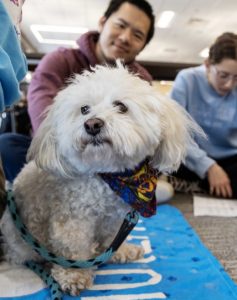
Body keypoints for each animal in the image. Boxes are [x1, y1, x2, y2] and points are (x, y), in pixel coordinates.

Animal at [0, 62, 200, 296]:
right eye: (84, 109)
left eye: (121, 106)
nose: (92, 124)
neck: (107, 178)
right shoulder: (72, 220)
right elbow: (73, 248)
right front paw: (74, 275)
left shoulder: (113, 218)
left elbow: (110, 239)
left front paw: (119, 252)